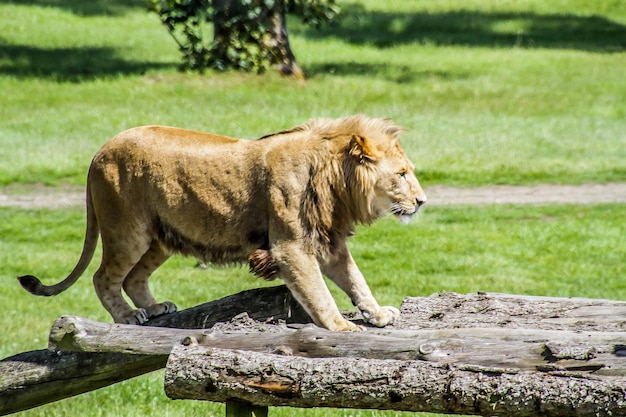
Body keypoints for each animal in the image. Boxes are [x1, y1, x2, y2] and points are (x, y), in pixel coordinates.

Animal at [20, 114, 428, 332]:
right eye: (402, 174)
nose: (422, 201)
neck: (335, 180)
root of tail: (99, 152)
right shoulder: (291, 247)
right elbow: (319, 293)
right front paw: (341, 326)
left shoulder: (328, 242)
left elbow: (356, 280)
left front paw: (377, 313)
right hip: (128, 231)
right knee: (103, 276)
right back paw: (129, 315)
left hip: (159, 239)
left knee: (134, 277)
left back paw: (156, 307)